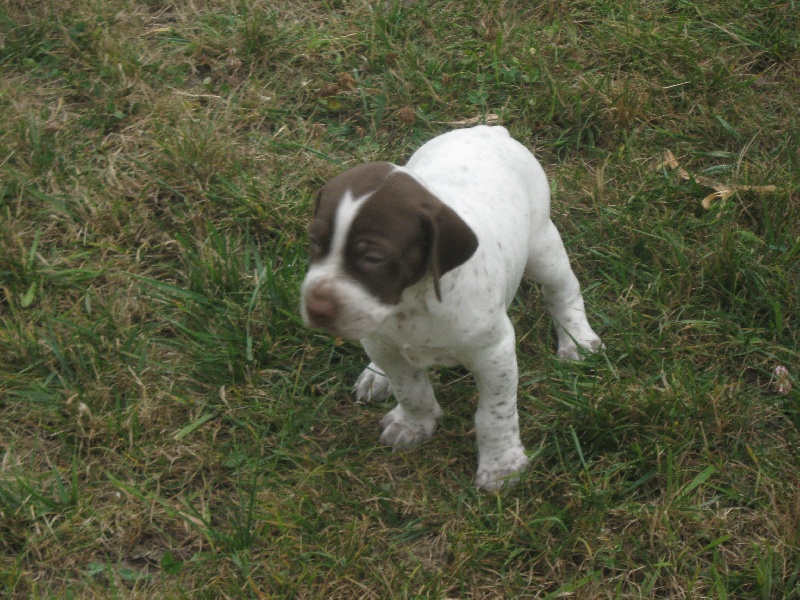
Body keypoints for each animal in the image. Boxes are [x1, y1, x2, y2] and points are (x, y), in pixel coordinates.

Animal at [300, 126, 602, 490]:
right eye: (315, 242)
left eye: (373, 258)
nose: (315, 308)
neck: (412, 302)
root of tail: (487, 129)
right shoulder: (384, 342)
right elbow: (410, 389)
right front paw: (414, 424)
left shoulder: (494, 352)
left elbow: (494, 415)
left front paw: (501, 466)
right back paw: (375, 374)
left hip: (542, 248)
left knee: (563, 290)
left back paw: (576, 339)